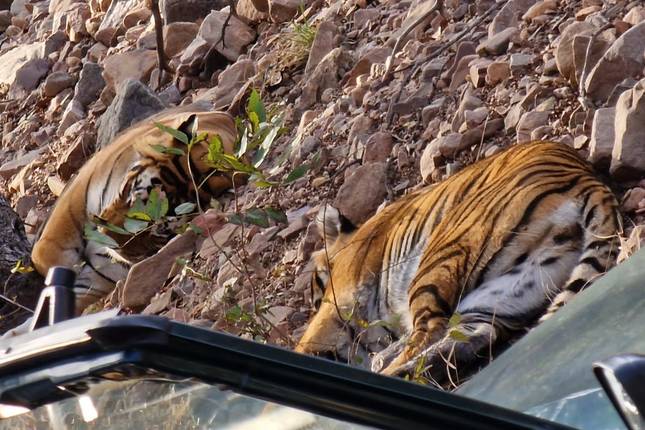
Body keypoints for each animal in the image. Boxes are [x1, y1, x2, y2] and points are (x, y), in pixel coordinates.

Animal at [31, 104, 239, 312]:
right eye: (132, 195)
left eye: (160, 230)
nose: (108, 240)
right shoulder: (76, 200)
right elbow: (46, 252)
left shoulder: (101, 277)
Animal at [295, 141, 622, 382]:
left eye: (315, 289)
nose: (313, 301)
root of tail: (585, 175)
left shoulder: (341, 303)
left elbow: (311, 342)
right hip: (509, 289)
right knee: (473, 335)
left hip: (441, 257)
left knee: (430, 330)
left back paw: (393, 373)